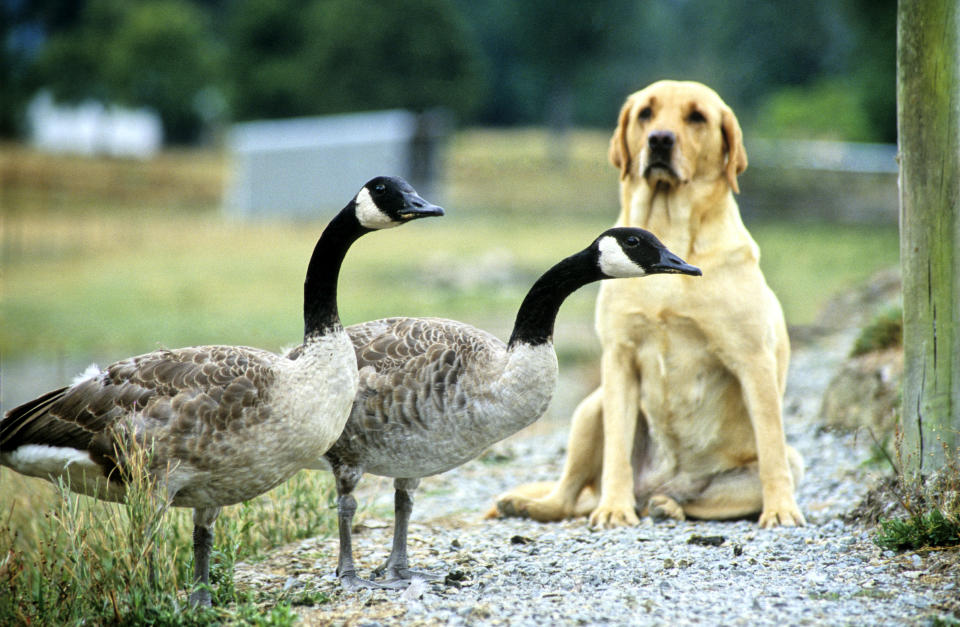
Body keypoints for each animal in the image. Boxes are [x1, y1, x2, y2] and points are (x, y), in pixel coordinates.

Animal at [496, 79, 804, 528]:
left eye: (698, 116)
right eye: (645, 112)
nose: (660, 140)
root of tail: (662, 482)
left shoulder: (753, 358)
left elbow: (771, 446)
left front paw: (781, 511)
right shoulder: (619, 356)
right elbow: (618, 452)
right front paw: (613, 510)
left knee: (712, 494)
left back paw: (667, 505)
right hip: (591, 408)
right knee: (569, 494)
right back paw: (530, 504)